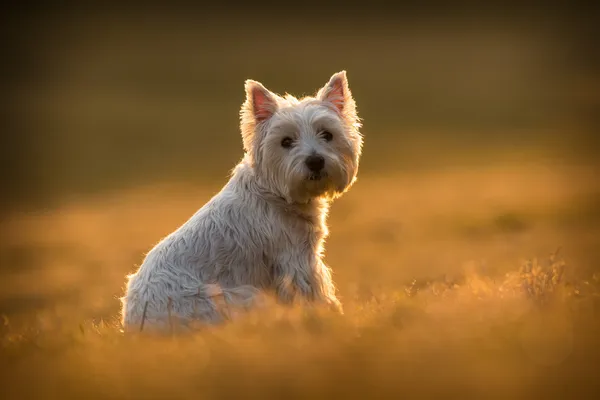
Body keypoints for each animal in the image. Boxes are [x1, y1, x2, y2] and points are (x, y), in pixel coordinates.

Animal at [119, 71, 364, 332]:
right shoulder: (295, 259)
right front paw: (331, 317)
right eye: (286, 141)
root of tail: (135, 326)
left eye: (327, 134)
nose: (315, 161)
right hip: (236, 298)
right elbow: (315, 293)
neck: (275, 193)